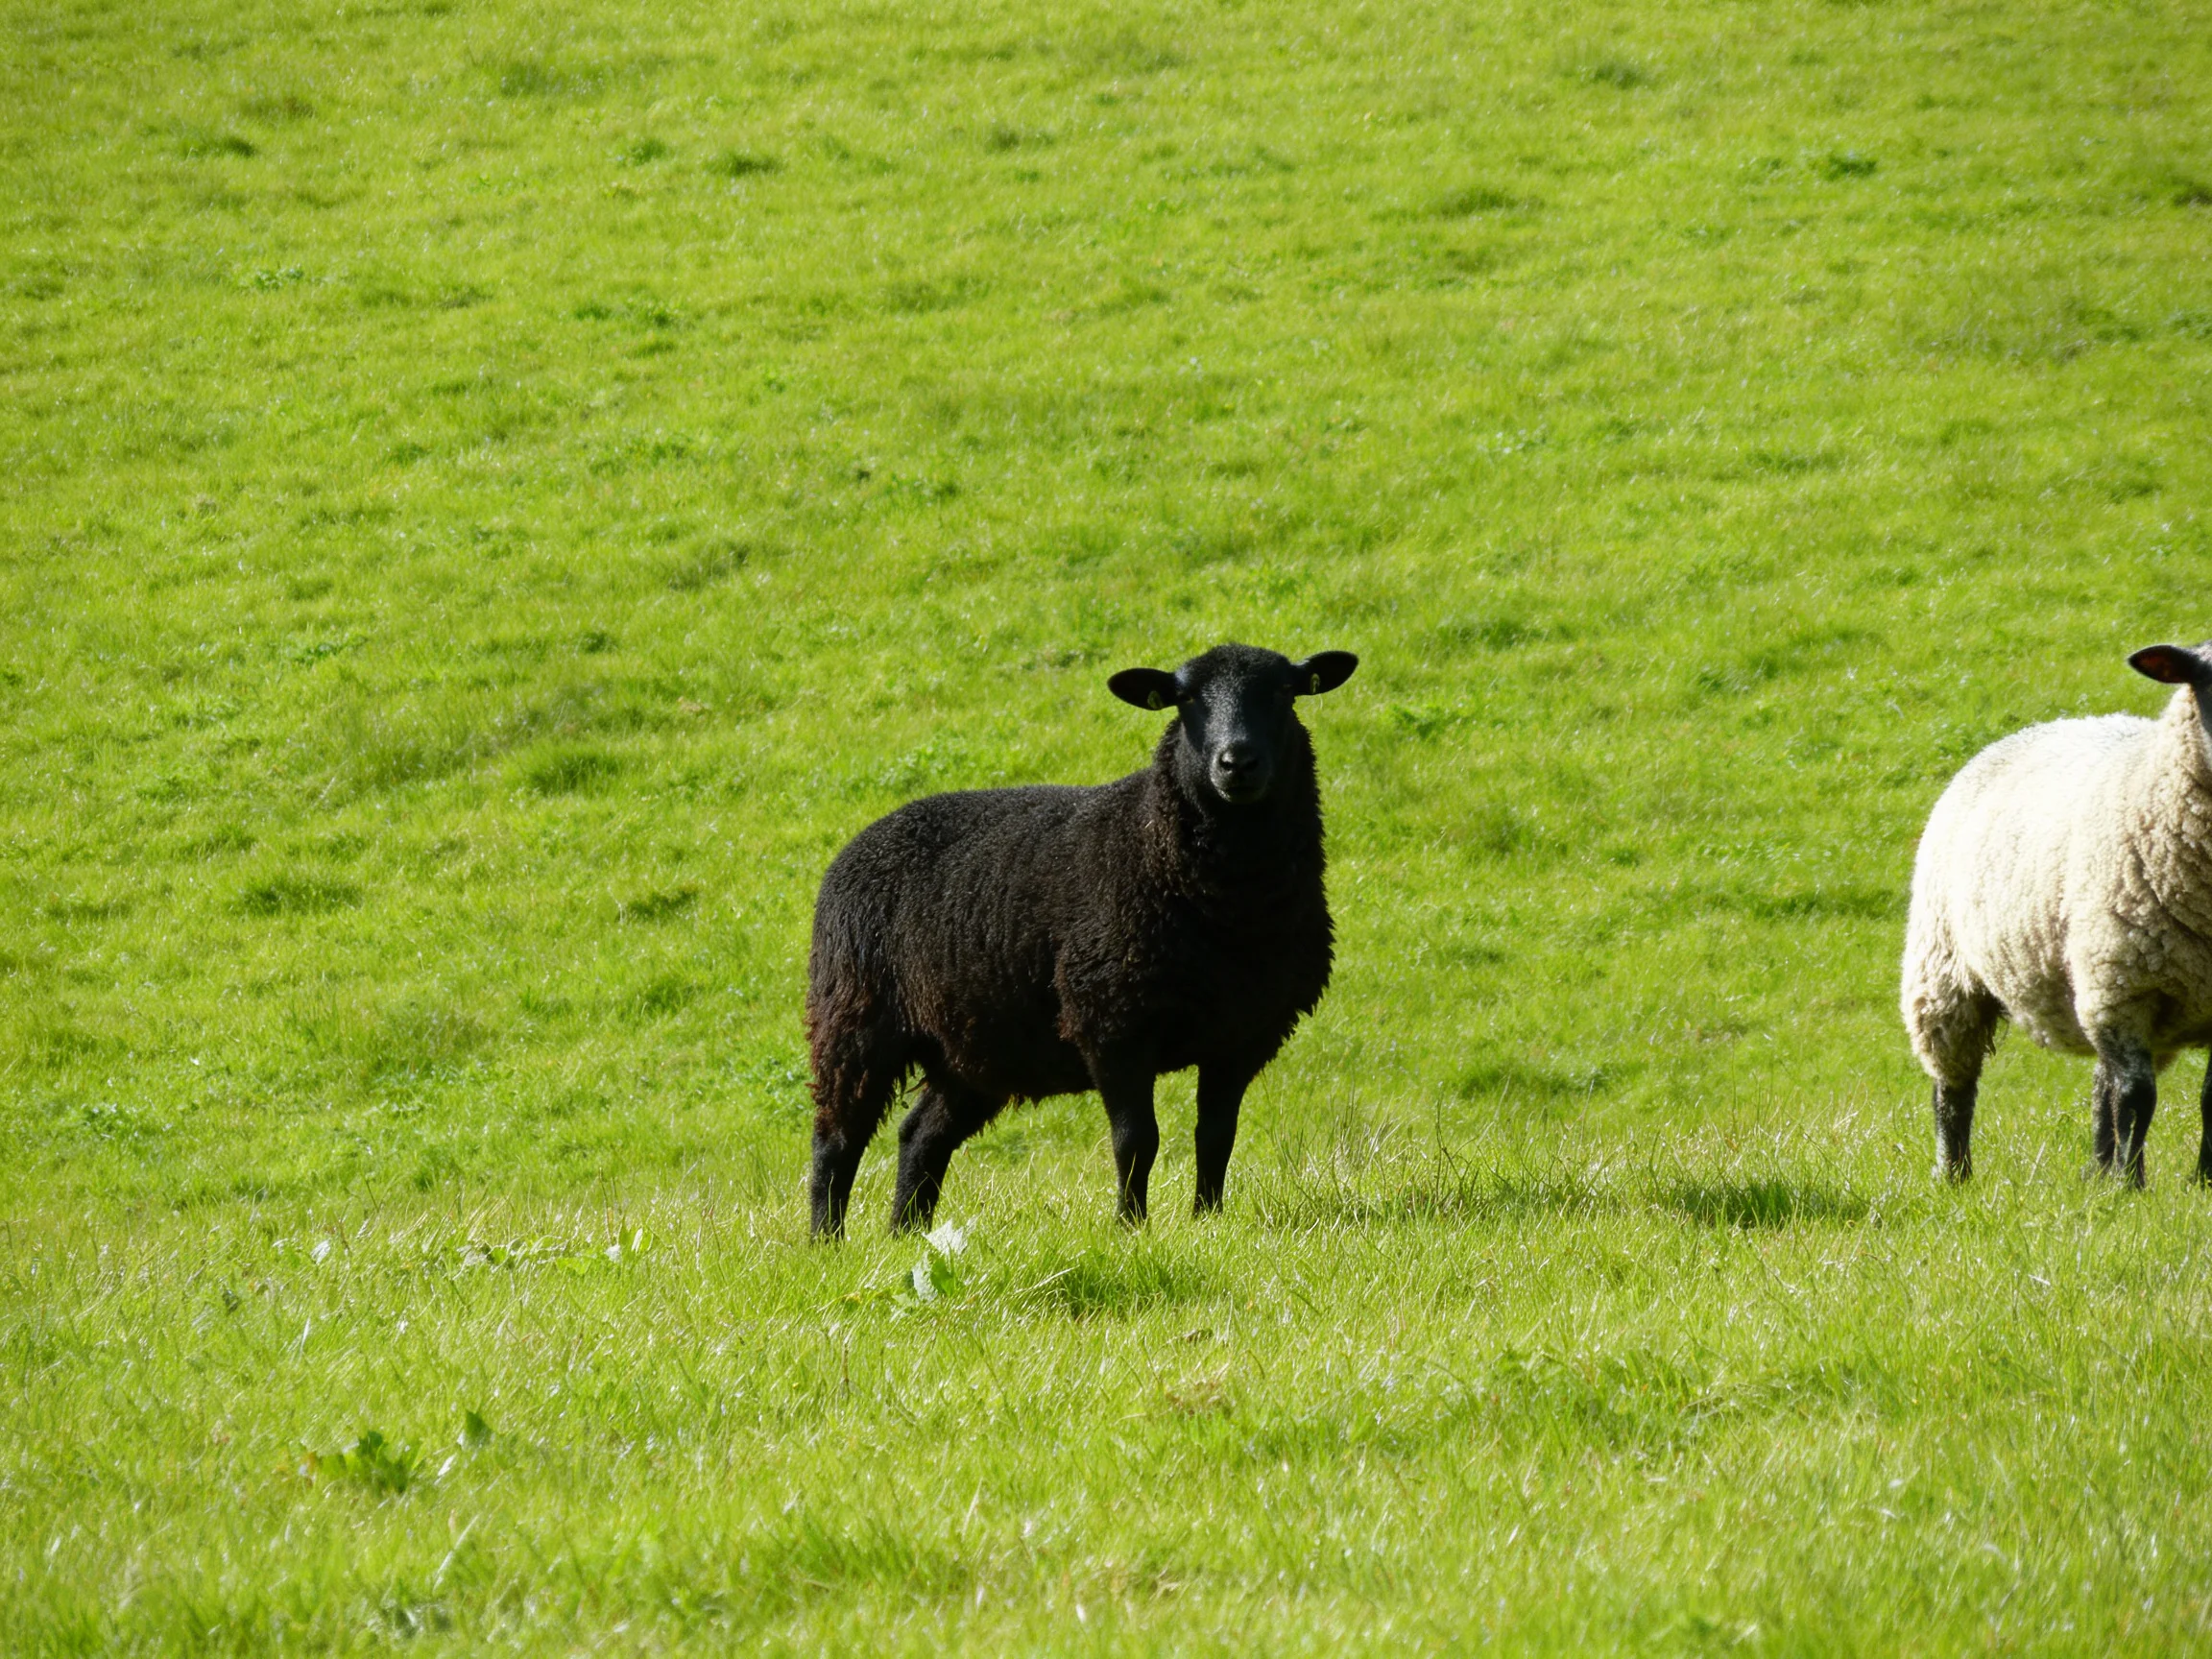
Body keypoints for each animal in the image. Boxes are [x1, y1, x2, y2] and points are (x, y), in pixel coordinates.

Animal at [804, 642, 1358, 1238]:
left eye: (1284, 693)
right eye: (1185, 699)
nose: (1237, 763)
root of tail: (859, 842)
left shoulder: (1243, 1034)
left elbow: (1215, 1138)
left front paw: (1206, 1222)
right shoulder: (1111, 1022)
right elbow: (1137, 1141)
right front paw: (1130, 1227)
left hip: (976, 1047)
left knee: (921, 1135)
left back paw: (908, 1233)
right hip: (855, 1018)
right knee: (837, 1140)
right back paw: (826, 1241)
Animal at [1901, 641, 2212, 1186]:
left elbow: (2211, 1100)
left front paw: (2202, 1182)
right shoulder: (2123, 988)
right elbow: (2137, 1098)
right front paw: (2130, 1189)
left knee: (2102, 1088)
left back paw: (2100, 1173)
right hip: (1944, 973)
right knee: (1953, 1087)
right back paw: (1954, 1174)